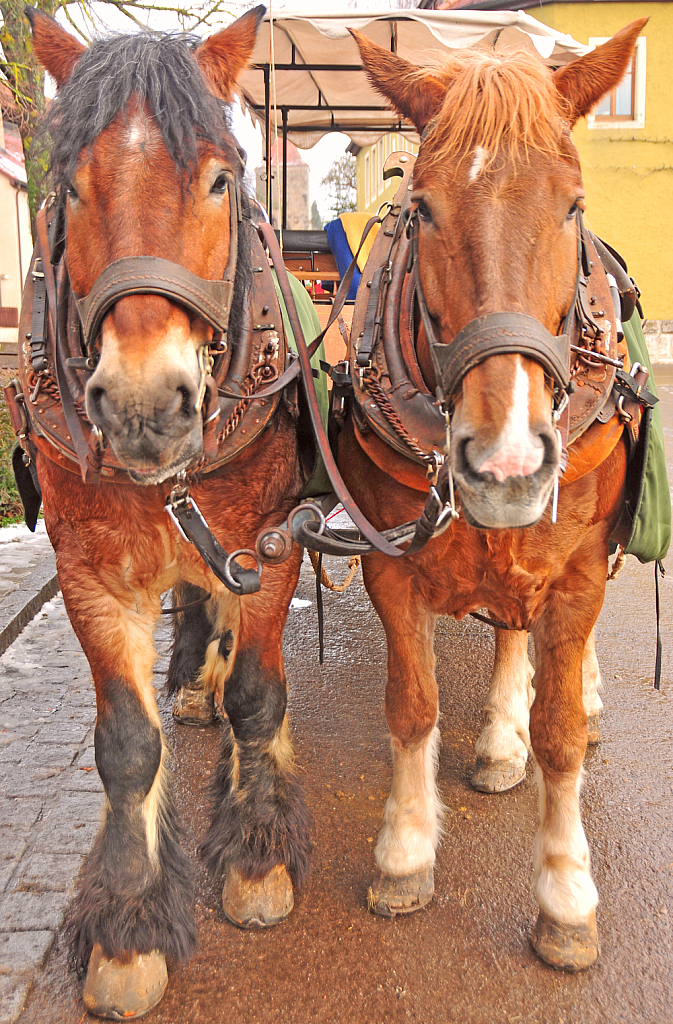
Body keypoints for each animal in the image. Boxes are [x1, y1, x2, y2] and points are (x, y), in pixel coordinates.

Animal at [19, 6, 311, 1015]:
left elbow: (262, 696)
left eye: (220, 179)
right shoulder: (91, 574)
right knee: (197, 605)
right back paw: (193, 683)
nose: (146, 406)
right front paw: (128, 928)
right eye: (69, 187)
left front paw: (257, 855)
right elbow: (125, 746)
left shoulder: (270, 543)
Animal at [342, 19, 647, 970]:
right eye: (423, 209)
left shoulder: (578, 572)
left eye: (573, 206)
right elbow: (410, 708)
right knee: (511, 627)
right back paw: (498, 736)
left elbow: (560, 733)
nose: (507, 464)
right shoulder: (388, 564)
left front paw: (565, 892)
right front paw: (405, 850)